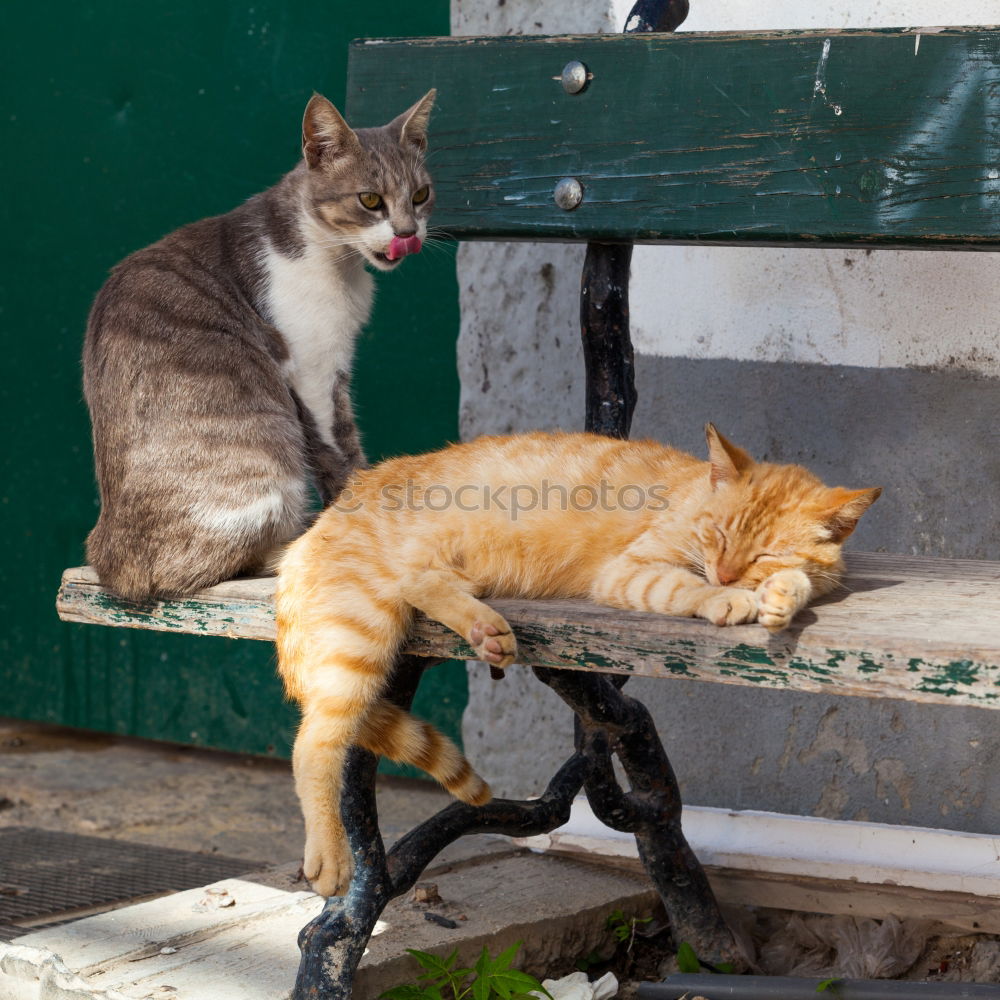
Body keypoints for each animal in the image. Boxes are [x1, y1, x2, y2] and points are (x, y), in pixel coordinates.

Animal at [82, 90, 434, 596]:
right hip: (266, 474)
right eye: (370, 200)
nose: (408, 233)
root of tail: (114, 570)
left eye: (420, 196)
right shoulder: (314, 371)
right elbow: (341, 453)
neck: (334, 258)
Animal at [274, 426, 876, 896]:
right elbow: (684, 586)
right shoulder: (630, 572)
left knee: (422, 583)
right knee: (314, 741)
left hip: (442, 579)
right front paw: (726, 599)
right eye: (719, 535)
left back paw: (487, 632)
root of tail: (321, 521)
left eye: (763, 553)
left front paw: (780, 594)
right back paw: (330, 855)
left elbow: (802, 579)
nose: (728, 574)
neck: (687, 502)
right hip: (361, 630)